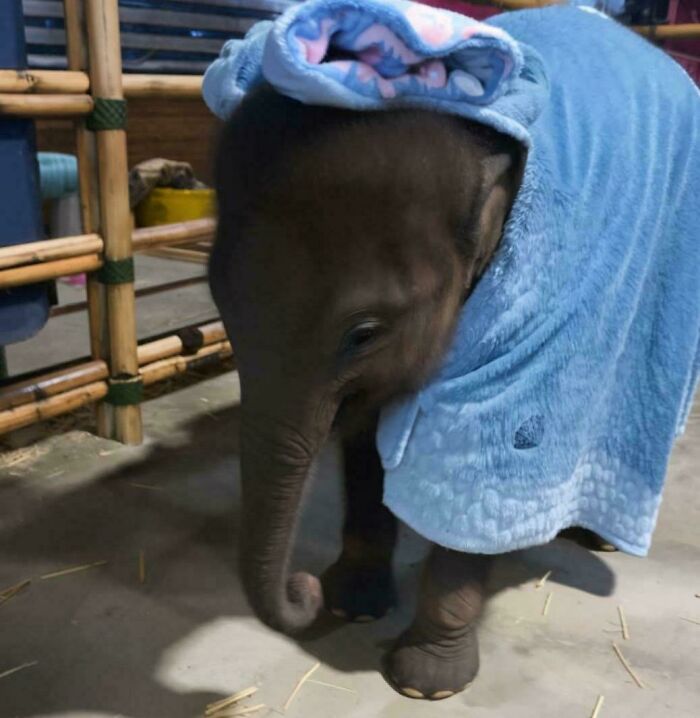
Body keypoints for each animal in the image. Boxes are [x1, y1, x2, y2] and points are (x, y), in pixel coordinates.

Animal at [208, 84, 612, 701]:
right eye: (218, 303)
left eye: (363, 334)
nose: (303, 588)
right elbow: (366, 444)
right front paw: (351, 605)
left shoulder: (522, 319)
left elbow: (475, 460)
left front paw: (427, 685)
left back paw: (594, 537)